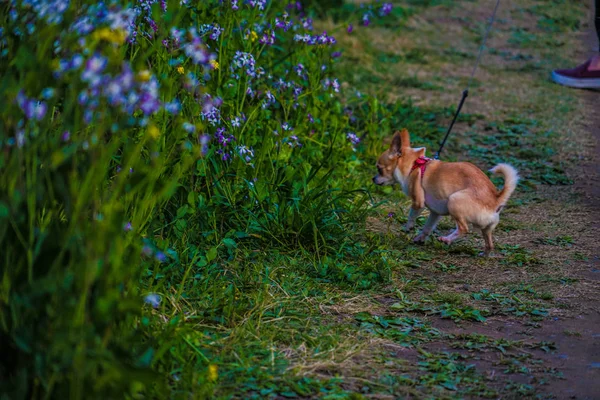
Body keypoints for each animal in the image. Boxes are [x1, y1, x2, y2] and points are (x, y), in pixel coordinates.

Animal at [372, 130, 516, 255]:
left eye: (379, 169)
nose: (373, 179)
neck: (414, 165)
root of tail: (496, 200)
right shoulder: (435, 212)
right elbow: (428, 226)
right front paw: (420, 238)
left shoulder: (418, 202)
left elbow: (412, 215)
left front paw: (408, 227)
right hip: (487, 229)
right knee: (489, 244)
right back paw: (484, 254)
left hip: (454, 200)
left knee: (464, 229)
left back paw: (446, 239)